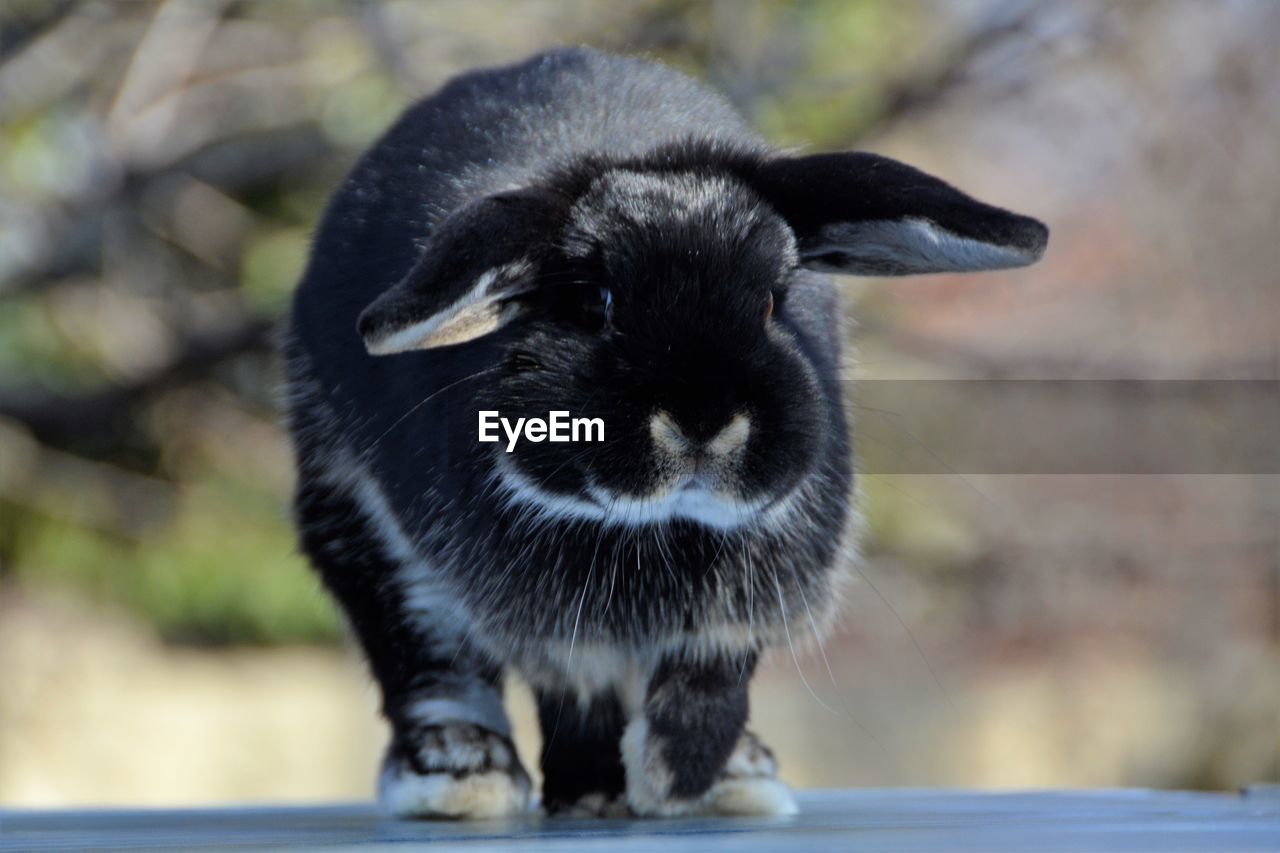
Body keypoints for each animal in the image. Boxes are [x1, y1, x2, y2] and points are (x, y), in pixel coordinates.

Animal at [285, 46, 1044, 819]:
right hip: (368, 535)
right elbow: (552, 682)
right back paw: (465, 777)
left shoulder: (737, 613)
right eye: (595, 301)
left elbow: (708, 680)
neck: (656, 523)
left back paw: (732, 779)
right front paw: (616, 790)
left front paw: (674, 778)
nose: (703, 418)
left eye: (773, 299)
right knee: (435, 668)